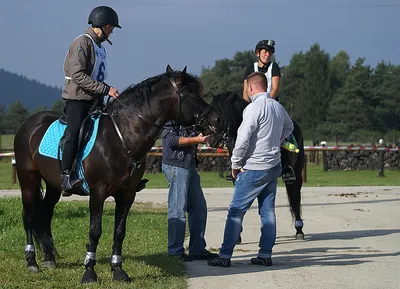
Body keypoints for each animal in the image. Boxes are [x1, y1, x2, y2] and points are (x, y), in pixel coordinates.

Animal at [13, 64, 219, 282]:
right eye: (190, 95)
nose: (216, 120)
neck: (121, 137)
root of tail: (29, 124)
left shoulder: (127, 194)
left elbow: (119, 232)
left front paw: (118, 269)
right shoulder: (98, 192)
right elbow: (95, 231)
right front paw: (89, 271)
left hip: (54, 185)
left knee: (45, 214)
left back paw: (49, 258)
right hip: (28, 180)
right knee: (29, 217)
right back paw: (32, 262)